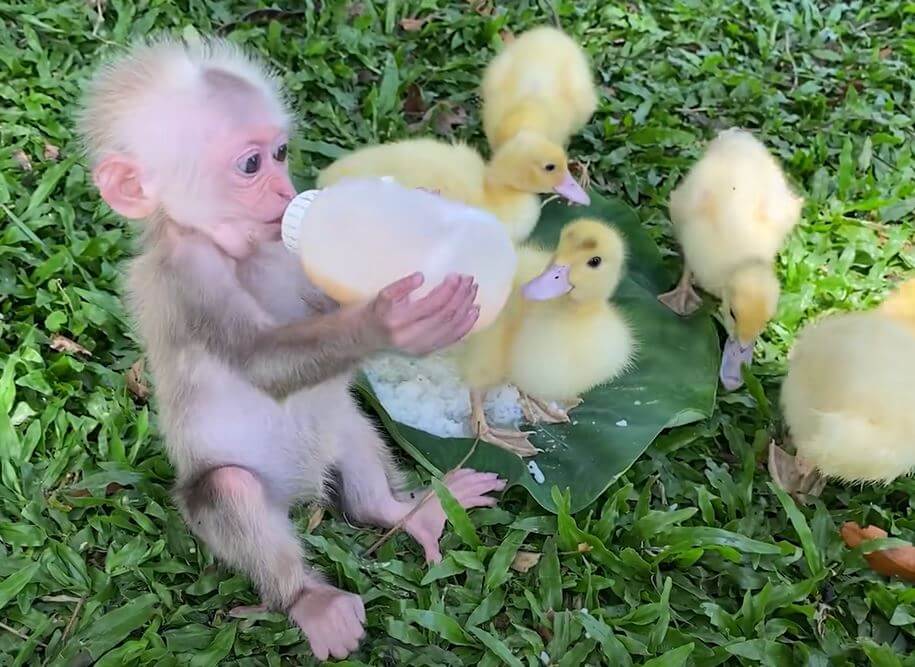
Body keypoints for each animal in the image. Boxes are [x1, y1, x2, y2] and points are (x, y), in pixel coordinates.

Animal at [77, 37, 508, 664]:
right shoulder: (188, 275)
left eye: (280, 153)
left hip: (333, 444)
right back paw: (309, 600)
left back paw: (410, 512)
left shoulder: (286, 252)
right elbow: (263, 363)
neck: (236, 249)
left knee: (348, 426)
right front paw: (390, 319)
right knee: (232, 491)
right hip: (227, 493)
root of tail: (299, 494)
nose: (286, 191)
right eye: (251, 165)